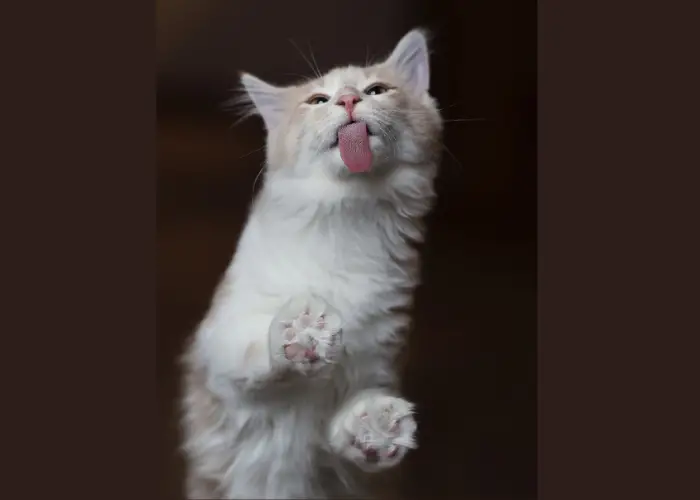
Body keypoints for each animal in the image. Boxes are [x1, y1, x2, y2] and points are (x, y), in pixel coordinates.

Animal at [180, 29, 442, 498]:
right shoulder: (216, 349)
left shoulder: (380, 358)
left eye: (377, 90)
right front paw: (301, 332)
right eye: (319, 100)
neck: (347, 222)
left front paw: (373, 427)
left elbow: (343, 437)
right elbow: (250, 353)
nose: (349, 100)